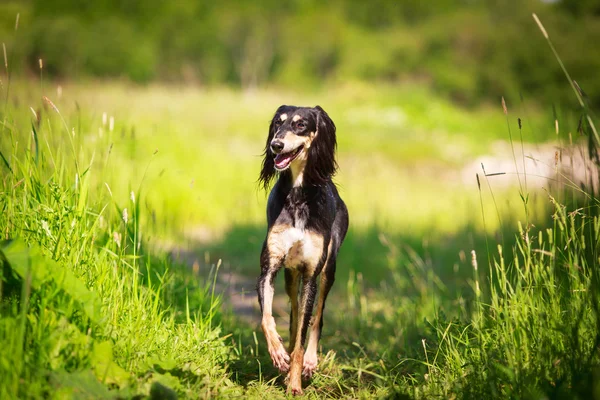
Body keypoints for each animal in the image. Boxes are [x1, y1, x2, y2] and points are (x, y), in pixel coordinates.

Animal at [256, 104, 350, 396]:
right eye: (278, 122)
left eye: (300, 125)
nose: (276, 145)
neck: (298, 195)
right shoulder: (269, 268)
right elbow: (267, 317)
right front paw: (278, 353)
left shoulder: (311, 275)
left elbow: (305, 333)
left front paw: (296, 384)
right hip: (290, 277)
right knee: (296, 317)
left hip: (328, 269)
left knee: (316, 318)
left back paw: (309, 361)